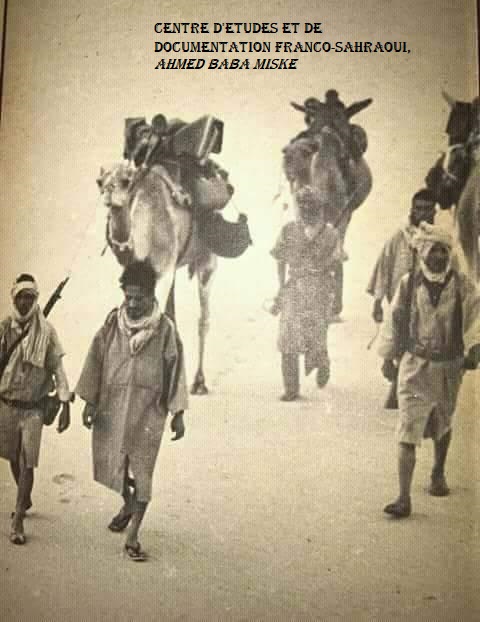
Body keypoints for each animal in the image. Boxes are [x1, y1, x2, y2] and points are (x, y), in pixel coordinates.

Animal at [97, 162, 217, 395]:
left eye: (126, 181)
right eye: (99, 181)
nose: (108, 192)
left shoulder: (165, 267)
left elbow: (156, 318)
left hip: (208, 258)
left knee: (204, 317)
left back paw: (199, 382)